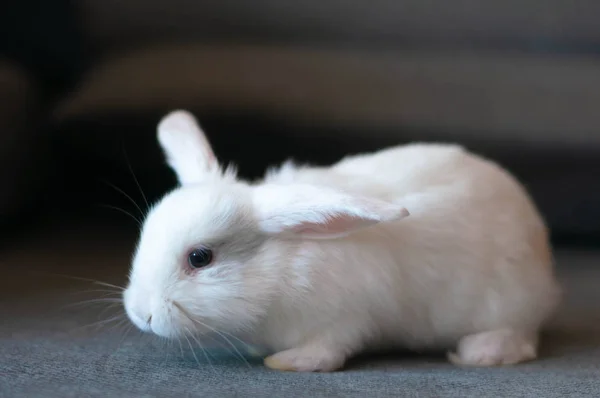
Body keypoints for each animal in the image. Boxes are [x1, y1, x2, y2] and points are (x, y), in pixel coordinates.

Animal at [123, 109, 564, 374]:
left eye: (200, 257)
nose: (141, 314)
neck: (278, 270)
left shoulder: (343, 322)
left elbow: (326, 352)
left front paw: (286, 362)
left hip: (505, 304)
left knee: (520, 339)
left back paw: (481, 352)